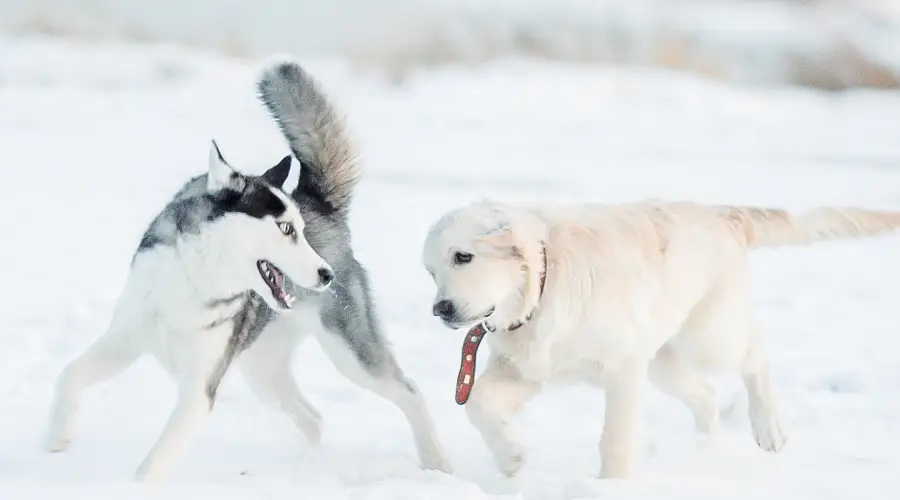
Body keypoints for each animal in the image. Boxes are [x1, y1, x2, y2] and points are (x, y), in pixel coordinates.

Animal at [422, 200, 900, 480]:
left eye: (463, 257)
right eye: (430, 270)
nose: (440, 309)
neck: (544, 284)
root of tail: (722, 216)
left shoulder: (623, 370)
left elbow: (615, 440)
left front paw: (611, 486)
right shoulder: (528, 371)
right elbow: (479, 404)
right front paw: (512, 457)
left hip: (707, 338)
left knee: (754, 357)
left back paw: (769, 428)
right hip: (663, 361)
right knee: (706, 396)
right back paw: (703, 453)